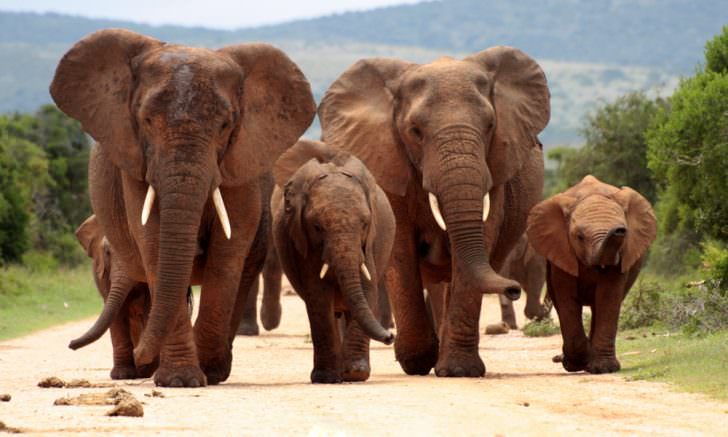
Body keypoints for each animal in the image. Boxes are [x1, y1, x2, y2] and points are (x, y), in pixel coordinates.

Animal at [49, 29, 314, 384]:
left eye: (225, 125)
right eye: (146, 120)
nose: (141, 355)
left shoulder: (240, 163)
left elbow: (227, 252)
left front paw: (207, 372)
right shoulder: (135, 161)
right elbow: (154, 244)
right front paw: (180, 380)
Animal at [272, 139, 396, 382]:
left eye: (365, 224)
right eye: (317, 227)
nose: (390, 336)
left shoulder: (369, 243)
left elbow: (367, 288)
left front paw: (355, 374)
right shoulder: (302, 242)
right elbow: (318, 295)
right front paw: (326, 378)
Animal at [318, 46, 544, 376]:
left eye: (490, 126)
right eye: (415, 131)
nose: (514, 288)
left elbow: (479, 240)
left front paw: (459, 371)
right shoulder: (388, 162)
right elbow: (400, 249)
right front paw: (417, 361)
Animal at [528, 174, 656, 372]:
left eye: (625, 234)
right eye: (580, 237)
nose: (619, 230)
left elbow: (608, 297)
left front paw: (603, 369)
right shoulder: (562, 251)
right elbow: (566, 298)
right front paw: (575, 363)